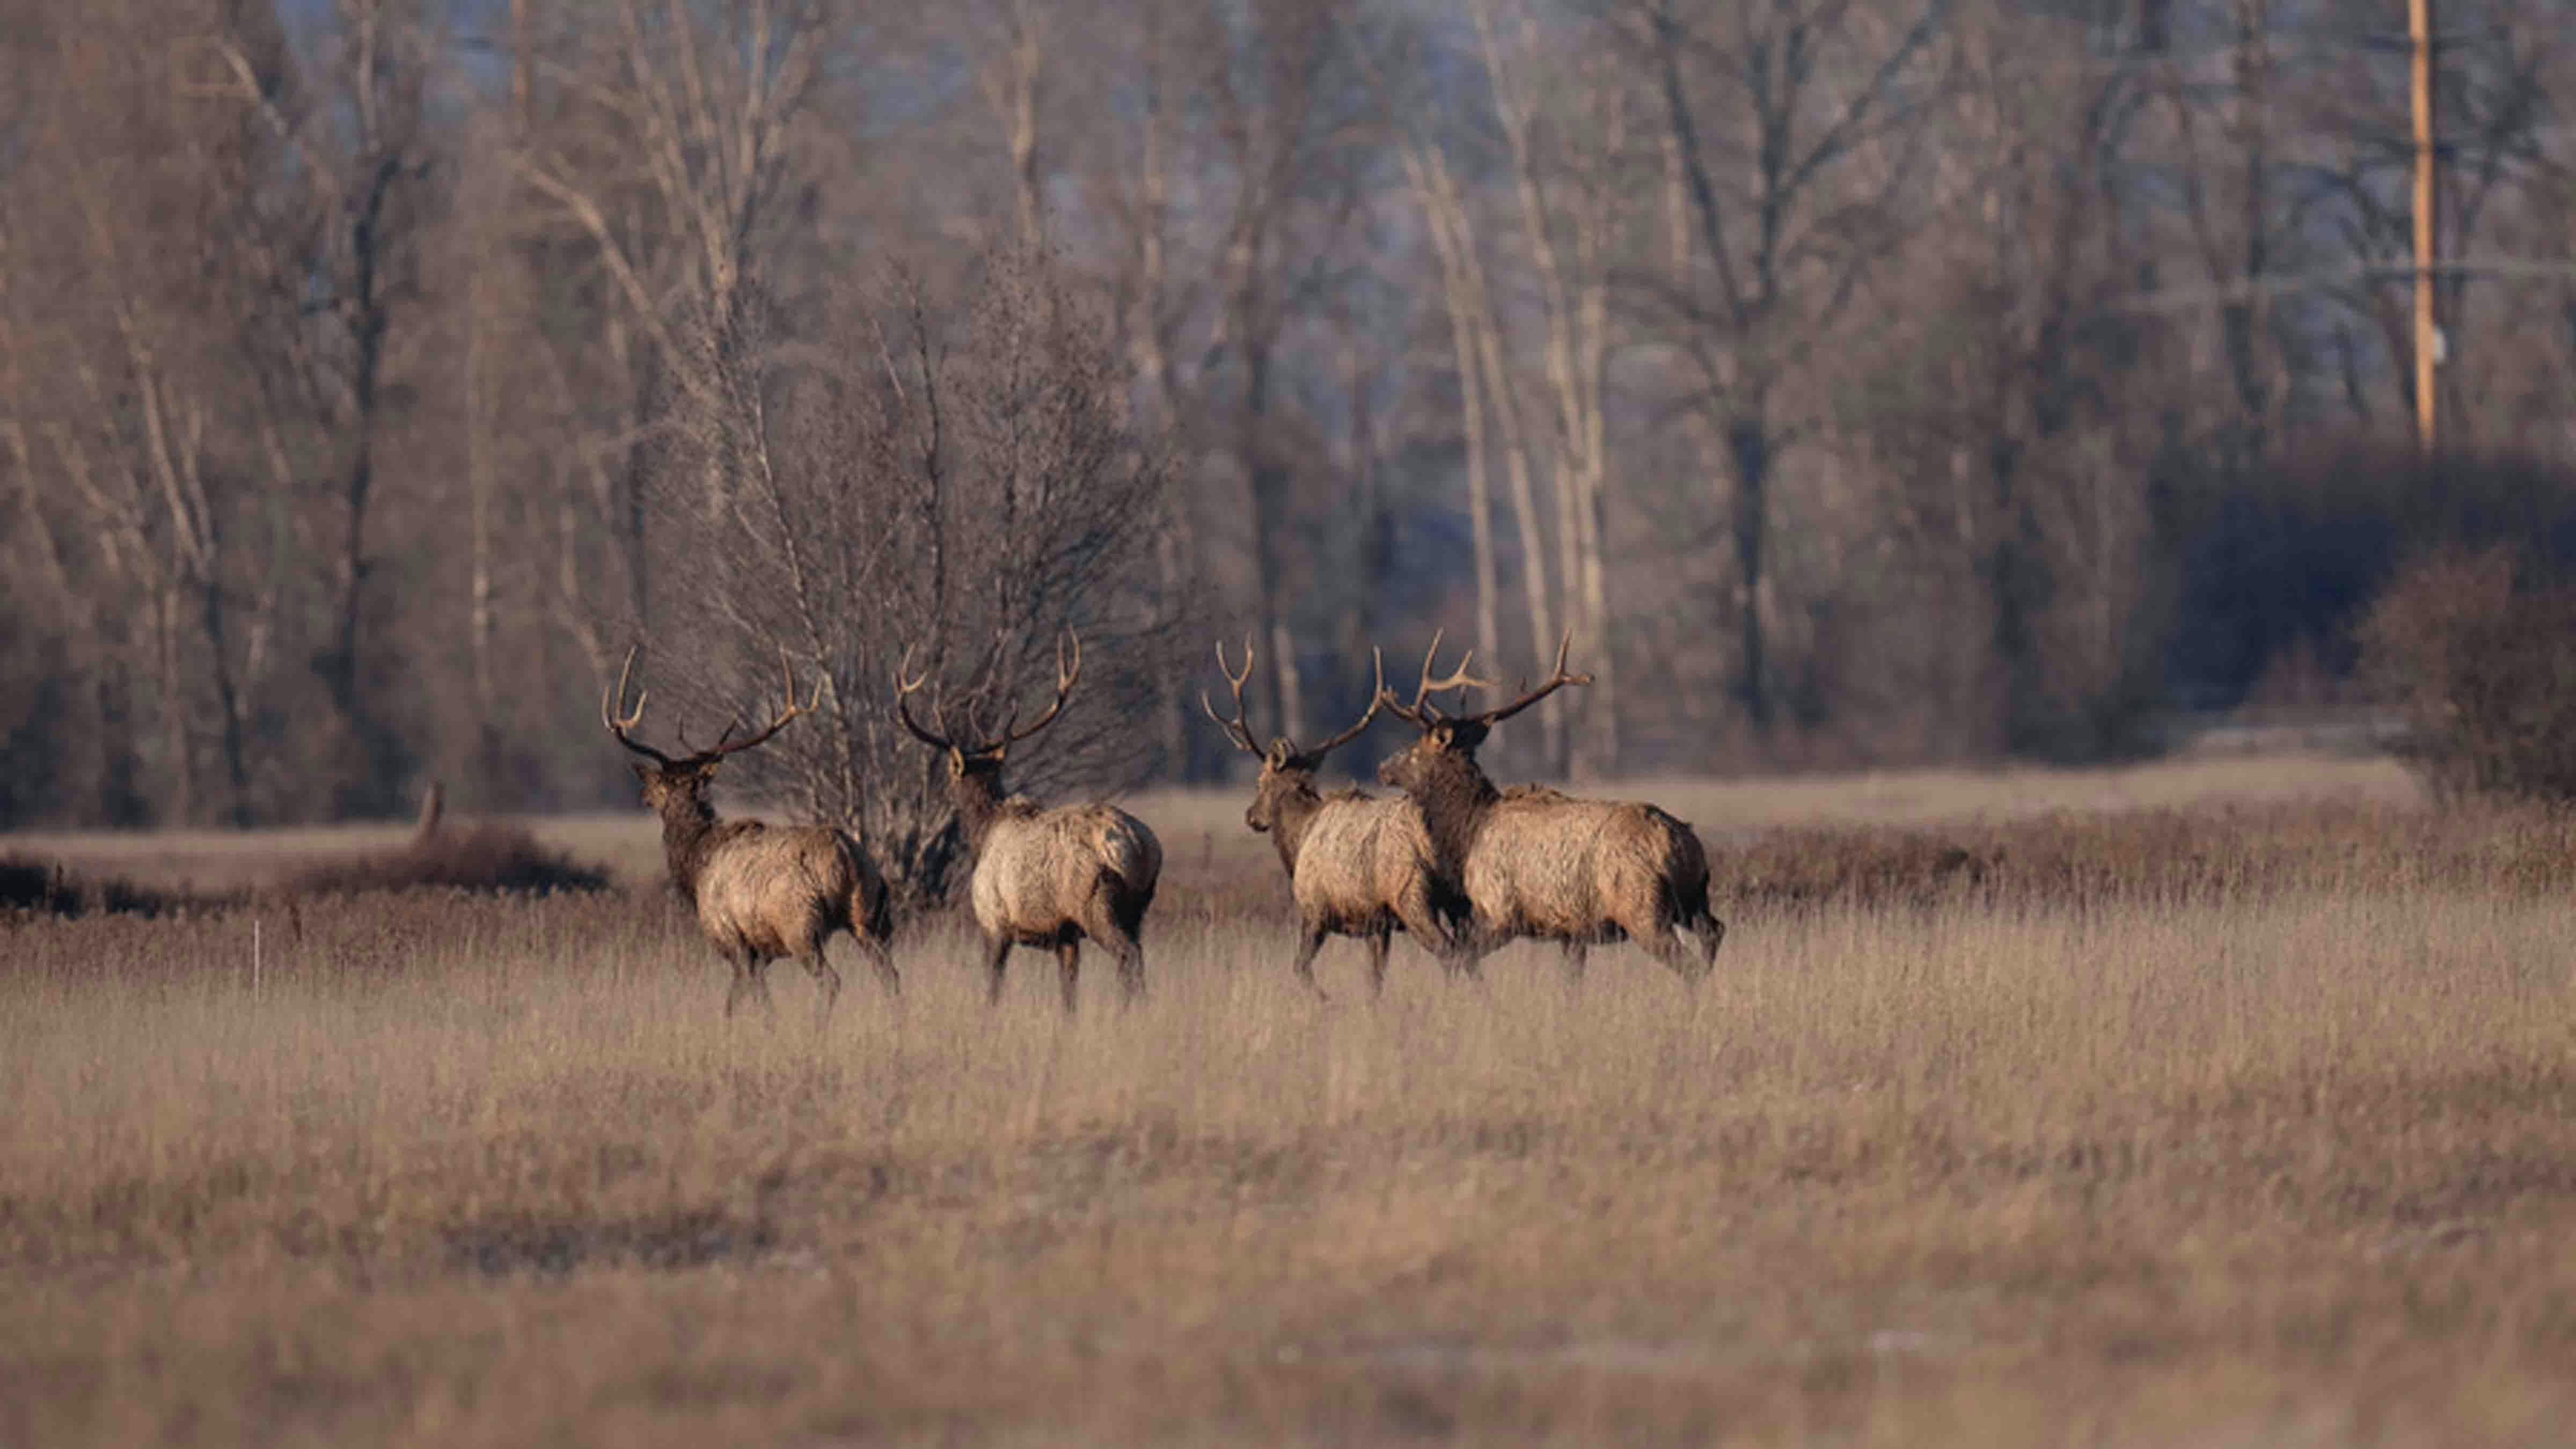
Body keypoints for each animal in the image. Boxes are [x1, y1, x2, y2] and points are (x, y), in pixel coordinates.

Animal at [603, 646, 899, 1022]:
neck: (696, 865)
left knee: (831, 981)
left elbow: (742, 1005)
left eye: (659, 785)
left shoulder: (733, 938)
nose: (642, 796)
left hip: (800, 924)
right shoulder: (761, 953)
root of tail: (846, 857)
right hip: (870, 914)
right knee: (890, 976)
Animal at [893, 631, 1162, 1014]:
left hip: (1096, 903)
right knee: (1138, 954)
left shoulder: (993, 921)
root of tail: (1141, 849)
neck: (983, 834)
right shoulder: (1065, 934)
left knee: (1130, 955)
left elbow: (993, 987)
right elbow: (1068, 994)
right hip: (1139, 908)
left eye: (949, 773)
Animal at [1203, 638, 1468, 999]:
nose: (1250, 816)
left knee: (1450, 952)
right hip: (1456, 897)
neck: (1300, 837)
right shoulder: (1376, 923)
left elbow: (1300, 967)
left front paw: (1327, 1000)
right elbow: (1375, 980)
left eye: (1260, 781)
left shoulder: (1314, 910)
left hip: (1412, 895)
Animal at [1375, 633, 1725, 984]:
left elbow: (1465, 956)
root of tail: (1684, 847)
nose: (1382, 767)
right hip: (1694, 900)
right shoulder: (1571, 931)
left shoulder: (1501, 912)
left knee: (1689, 964)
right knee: (1714, 931)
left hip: (1642, 906)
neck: (1467, 832)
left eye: (1415, 751)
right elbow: (1571, 983)